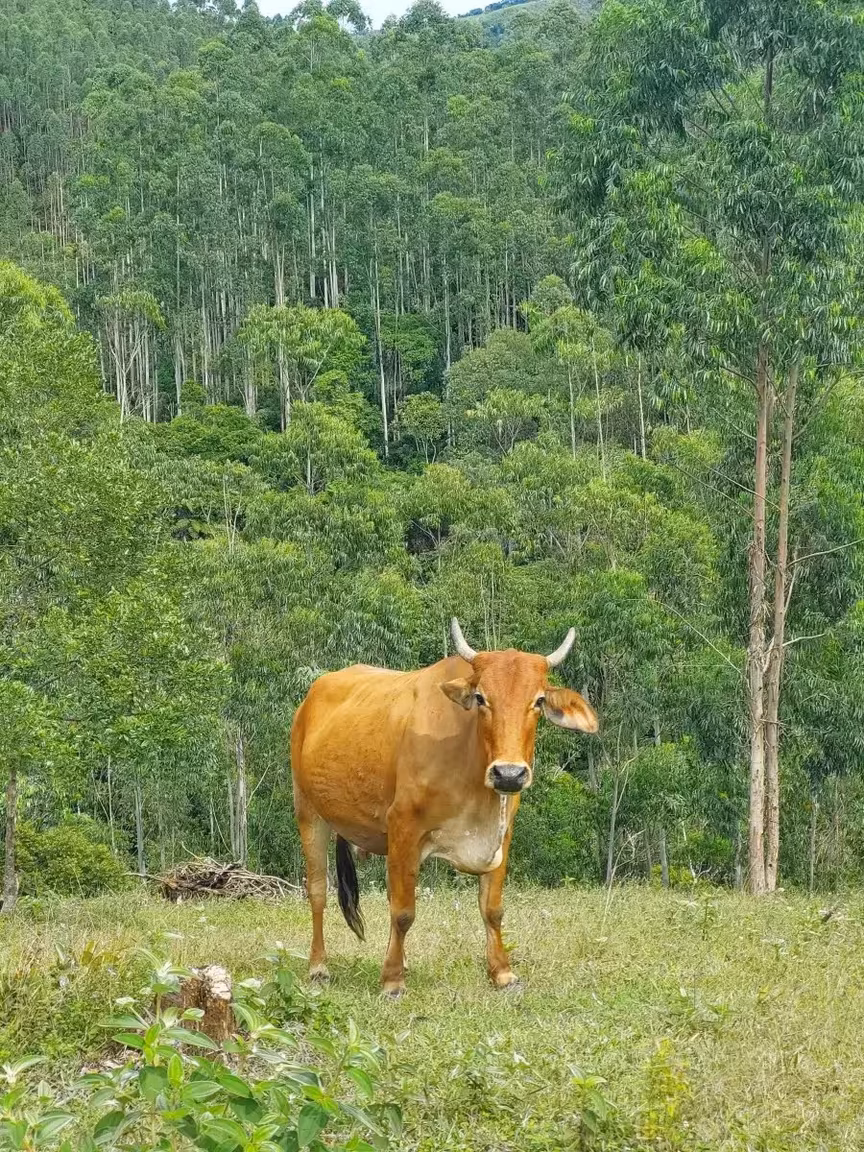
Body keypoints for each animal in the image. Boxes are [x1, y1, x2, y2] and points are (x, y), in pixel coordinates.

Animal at [290, 618, 598, 997]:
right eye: (481, 698)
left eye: (538, 701)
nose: (509, 773)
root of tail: (310, 699)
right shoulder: (404, 825)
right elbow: (404, 911)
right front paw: (392, 980)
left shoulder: (502, 832)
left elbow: (492, 908)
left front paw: (502, 973)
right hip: (308, 810)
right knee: (319, 891)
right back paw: (319, 966)